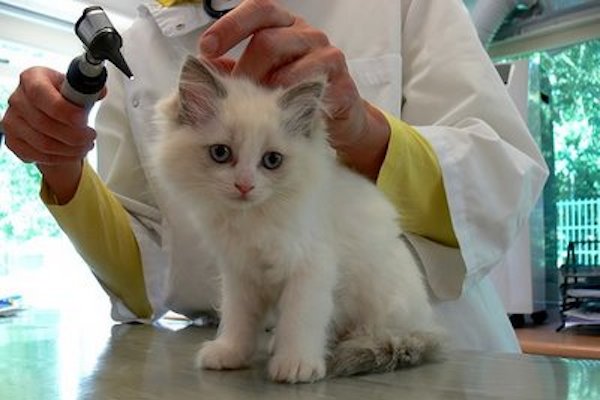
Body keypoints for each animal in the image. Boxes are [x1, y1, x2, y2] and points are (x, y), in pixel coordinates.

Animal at [150, 56, 440, 384]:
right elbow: (238, 319)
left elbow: (299, 320)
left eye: (272, 160)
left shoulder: (310, 269)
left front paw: (296, 363)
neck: (253, 220)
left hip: (383, 300)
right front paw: (230, 352)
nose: (244, 185)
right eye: (221, 153)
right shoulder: (240, 274)